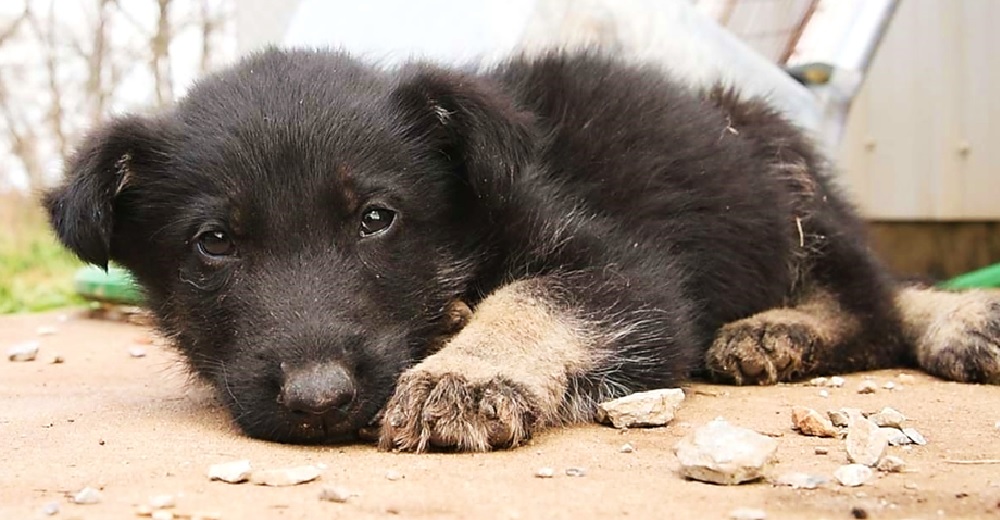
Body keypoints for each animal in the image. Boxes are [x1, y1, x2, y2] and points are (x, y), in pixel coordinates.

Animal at [45, 48, 1000, 450]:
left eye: (376, 218)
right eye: (214, 243)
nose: (320, 401)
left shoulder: (626, 271)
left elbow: (535, 297)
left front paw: (465, 375)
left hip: (780, 177)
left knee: (876, 294)